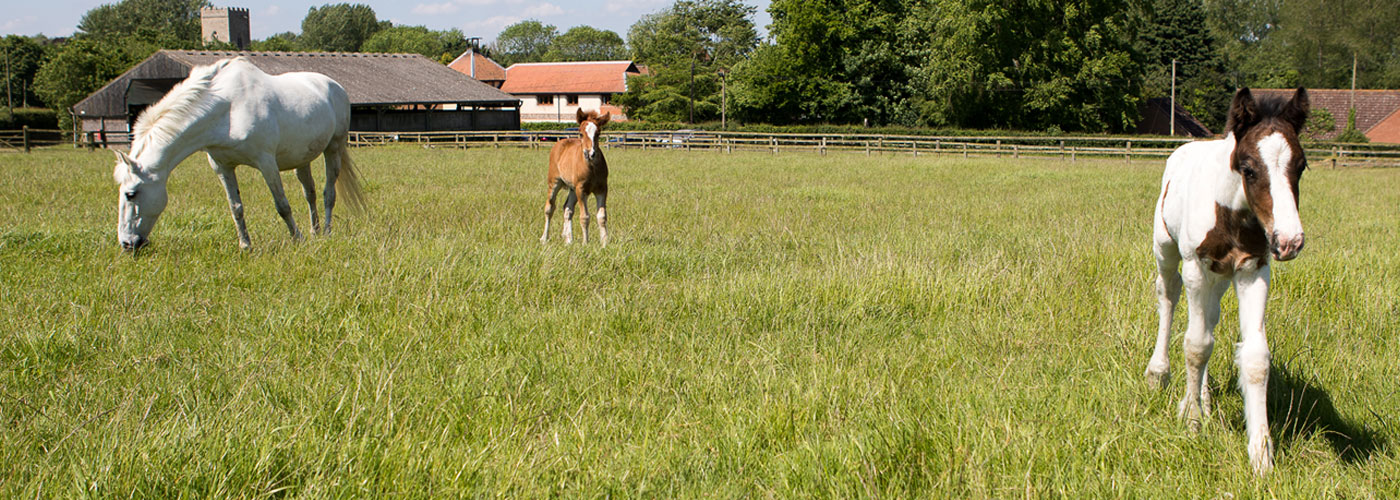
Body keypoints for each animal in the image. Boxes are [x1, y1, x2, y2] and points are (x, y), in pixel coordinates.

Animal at [112, 55, 364, 249]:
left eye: (131, 194)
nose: (127, 244)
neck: (228, 109)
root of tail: (334, 85)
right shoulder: (222, 167)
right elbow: (236, 208)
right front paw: (245, 245)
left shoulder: (266, 163)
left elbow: (282, 205)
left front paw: (297, 239)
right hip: (302, 158)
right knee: (309, 194)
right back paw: (315, 231)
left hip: (333, 148)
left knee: (328, 193)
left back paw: (327, 232)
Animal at [537, 107, 610, 245]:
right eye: (581, 134)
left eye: (598, 134)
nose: (589, 153)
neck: (592, 168)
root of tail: (561, 141)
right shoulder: (581, 189)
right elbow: (585, 217)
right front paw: (585, 243)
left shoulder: (602, 189)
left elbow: (602, 216)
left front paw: (605, 243)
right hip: (554, 182)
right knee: (549, 208)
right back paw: (544, 238)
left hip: (572, 189)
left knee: (567, 208)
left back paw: (568, 239)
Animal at [1148, 87, 1310, 473]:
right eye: (1248, 168)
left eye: (1301, 166)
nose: (1290, 241)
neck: (1232, 214)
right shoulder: (1196, 266)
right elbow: (1195, 345)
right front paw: (1191, 421)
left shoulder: (1253, 269)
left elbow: (1254, 357)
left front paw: (1261, 454)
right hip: (1167, 250)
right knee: (1169, 295)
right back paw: (1159, 374)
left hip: (1219, 278)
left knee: (1210, 318)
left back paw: (1205, 398)